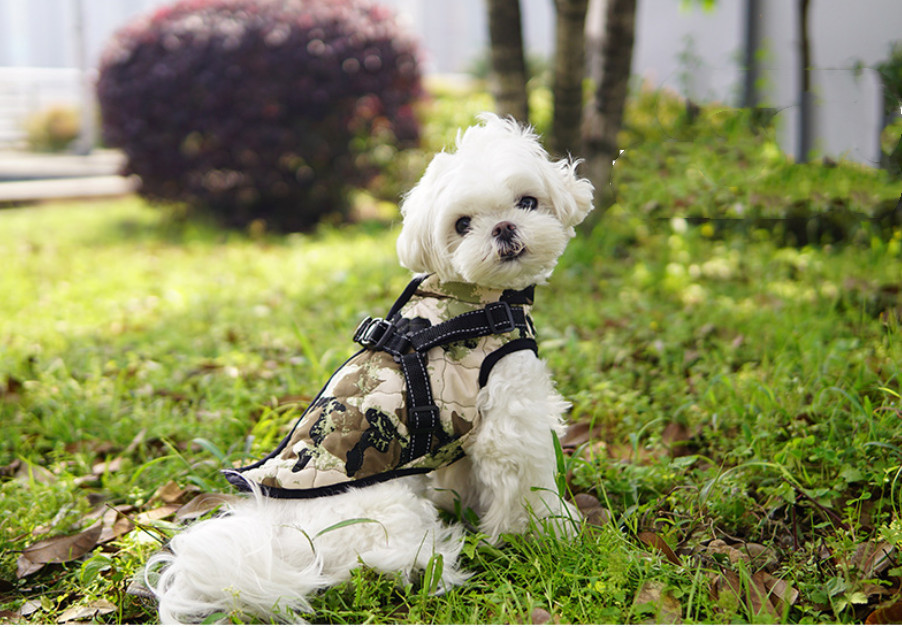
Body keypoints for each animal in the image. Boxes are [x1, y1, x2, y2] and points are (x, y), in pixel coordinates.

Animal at [146, 113, 596, 624]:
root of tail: (280, 537)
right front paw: (548, 535)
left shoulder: (462, 431)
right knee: (398, 558)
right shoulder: (509, 418)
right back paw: (444, 554)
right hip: (389, 516)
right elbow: (527, 488)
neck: (474, 300)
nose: (503, 227)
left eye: (527, 202)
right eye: (462, 225)